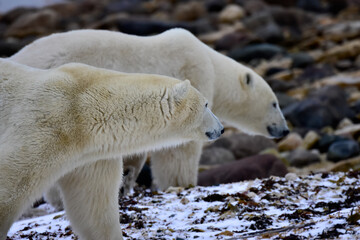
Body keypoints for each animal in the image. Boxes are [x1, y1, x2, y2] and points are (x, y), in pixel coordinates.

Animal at [0, 58, 224, 240]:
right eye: (206, 104)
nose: (221, 129)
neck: (83, 106)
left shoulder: (89, 156)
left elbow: (94, 207)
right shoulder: (46, 126)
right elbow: (11, 187)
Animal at [9, 28, 290, 197]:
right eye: (275, 103)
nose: (285, 130)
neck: (210, 63)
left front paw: (127, 180)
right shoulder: (191, 79)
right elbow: (179, 150)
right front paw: (182, 183)